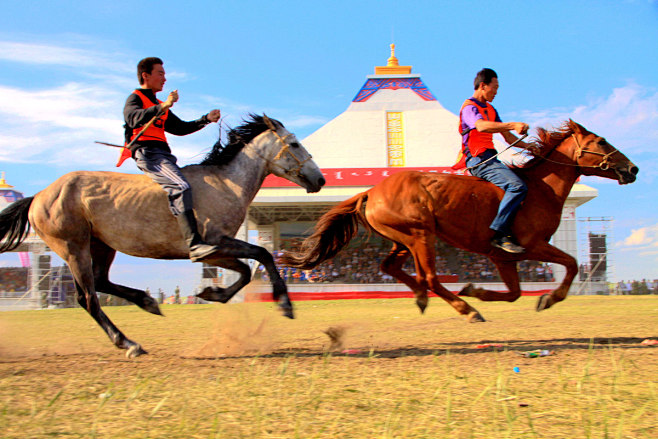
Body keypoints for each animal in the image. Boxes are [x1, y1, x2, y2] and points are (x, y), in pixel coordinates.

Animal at [0, 115, 326, 360]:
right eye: (294, 143)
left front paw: (212, 294)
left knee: (102, 282)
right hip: (73, 248)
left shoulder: (214, 251)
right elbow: (263, 255)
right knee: (88, 298)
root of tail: (39, 196)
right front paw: (284, 305)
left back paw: (147, 303)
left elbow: (246, 271)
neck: (225, 184)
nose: (320, 179)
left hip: (102, 246)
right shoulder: (214, 244)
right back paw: (129, 343)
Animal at [280, 122, 636, 322]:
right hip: (421, 235)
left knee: (391, 267)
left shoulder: (502, 256)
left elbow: (515, 292)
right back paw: (467, 310)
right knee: (430, 278)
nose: (632, 169)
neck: (539, 188)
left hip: (403, 238)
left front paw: (476, 289)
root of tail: (371, 191)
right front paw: (548, 298)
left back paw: (425, 298)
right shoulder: (533, 245)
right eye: (601, 141)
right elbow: (572, 264)